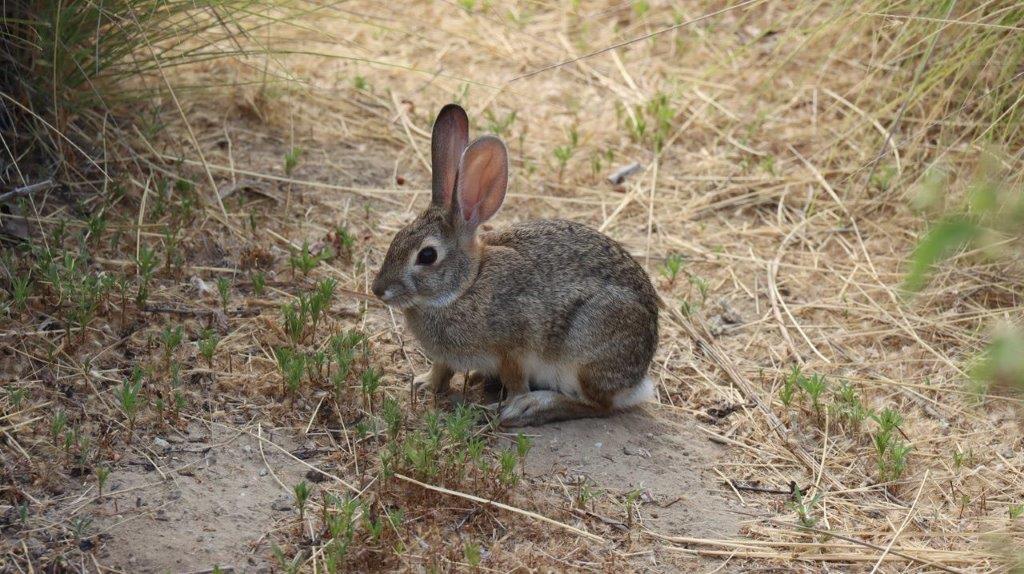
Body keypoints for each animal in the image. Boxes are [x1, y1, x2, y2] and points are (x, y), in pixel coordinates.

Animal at [372, 102, 659, 425]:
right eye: (397, 237)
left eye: (427, 256)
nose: (378, 290)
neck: (465, 286)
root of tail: (636, 381)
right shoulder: (446, 357)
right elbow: (441, 371)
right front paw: (423, 384)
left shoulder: (513, 349)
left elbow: (515, 380)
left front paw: (511, 406)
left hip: (585, 352)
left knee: (598, 405)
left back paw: (535, 406)